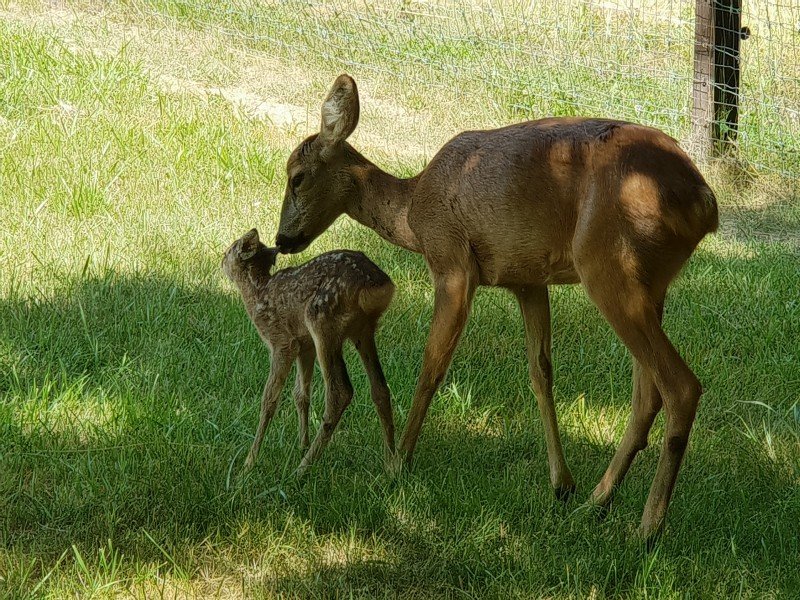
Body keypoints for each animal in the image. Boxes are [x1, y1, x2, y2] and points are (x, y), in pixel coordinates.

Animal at [276, 75, 720, 540]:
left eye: (297, 177)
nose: (281, 239)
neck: (412, 212)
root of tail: (705, 202)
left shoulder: (452, 263)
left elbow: (432, 366)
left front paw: (399, 463)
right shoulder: (528, 281)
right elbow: (541, 373)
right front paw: (561, 483)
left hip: (606, 263)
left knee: (681, 387)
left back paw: (648, 527)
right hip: (650, 284)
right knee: (647, 395)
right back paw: (596, 501)